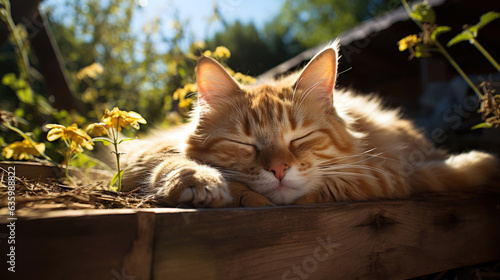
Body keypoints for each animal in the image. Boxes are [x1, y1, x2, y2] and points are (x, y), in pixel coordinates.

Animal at [119, 41, 498, 208]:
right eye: (244, 145)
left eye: (300, 138)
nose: (279, 170)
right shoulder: (142, 153)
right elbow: (172, 162)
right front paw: (199, 180)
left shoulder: (382, 176)